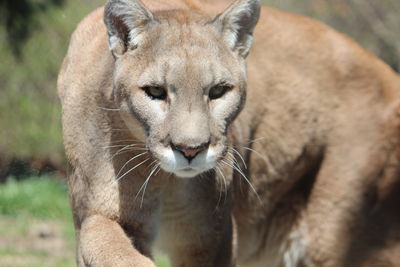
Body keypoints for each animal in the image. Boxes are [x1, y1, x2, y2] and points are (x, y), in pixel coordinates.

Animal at [57, 0, 400, 266]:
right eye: (155, 91)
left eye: (218, 91)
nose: (191, 150)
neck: (166, 180)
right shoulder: (99, 214)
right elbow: (113, 250)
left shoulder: (211, 236)